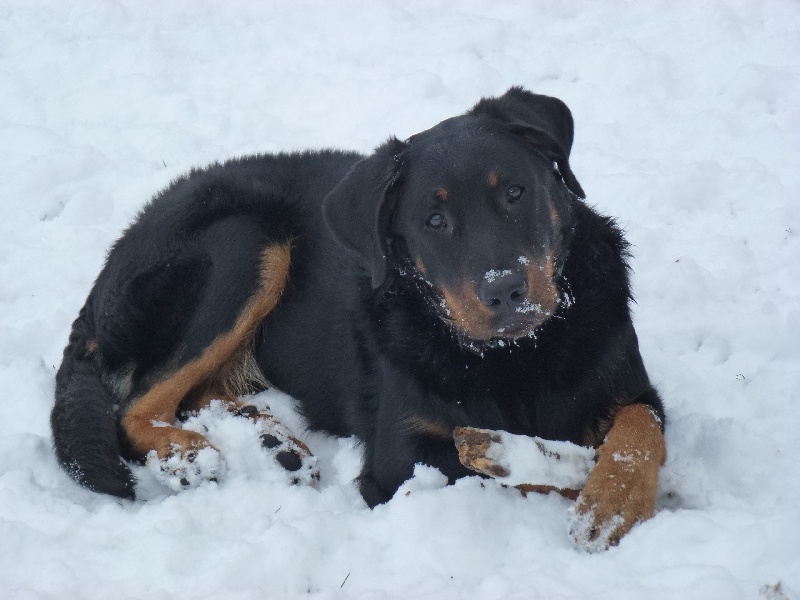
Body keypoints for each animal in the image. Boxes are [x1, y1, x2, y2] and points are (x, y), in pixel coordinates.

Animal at [48, 86, 664, 552]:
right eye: (434, 220)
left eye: (516, 191)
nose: (506, 290)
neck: (519, 355)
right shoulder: (401, 459)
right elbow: (523, 471)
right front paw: (561, 473)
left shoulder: (631, 386)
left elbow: (640, 429)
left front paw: (612, 497)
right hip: (246, 240)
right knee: (137, 403)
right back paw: (188, 455)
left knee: (195, 392)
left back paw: (275, 446)